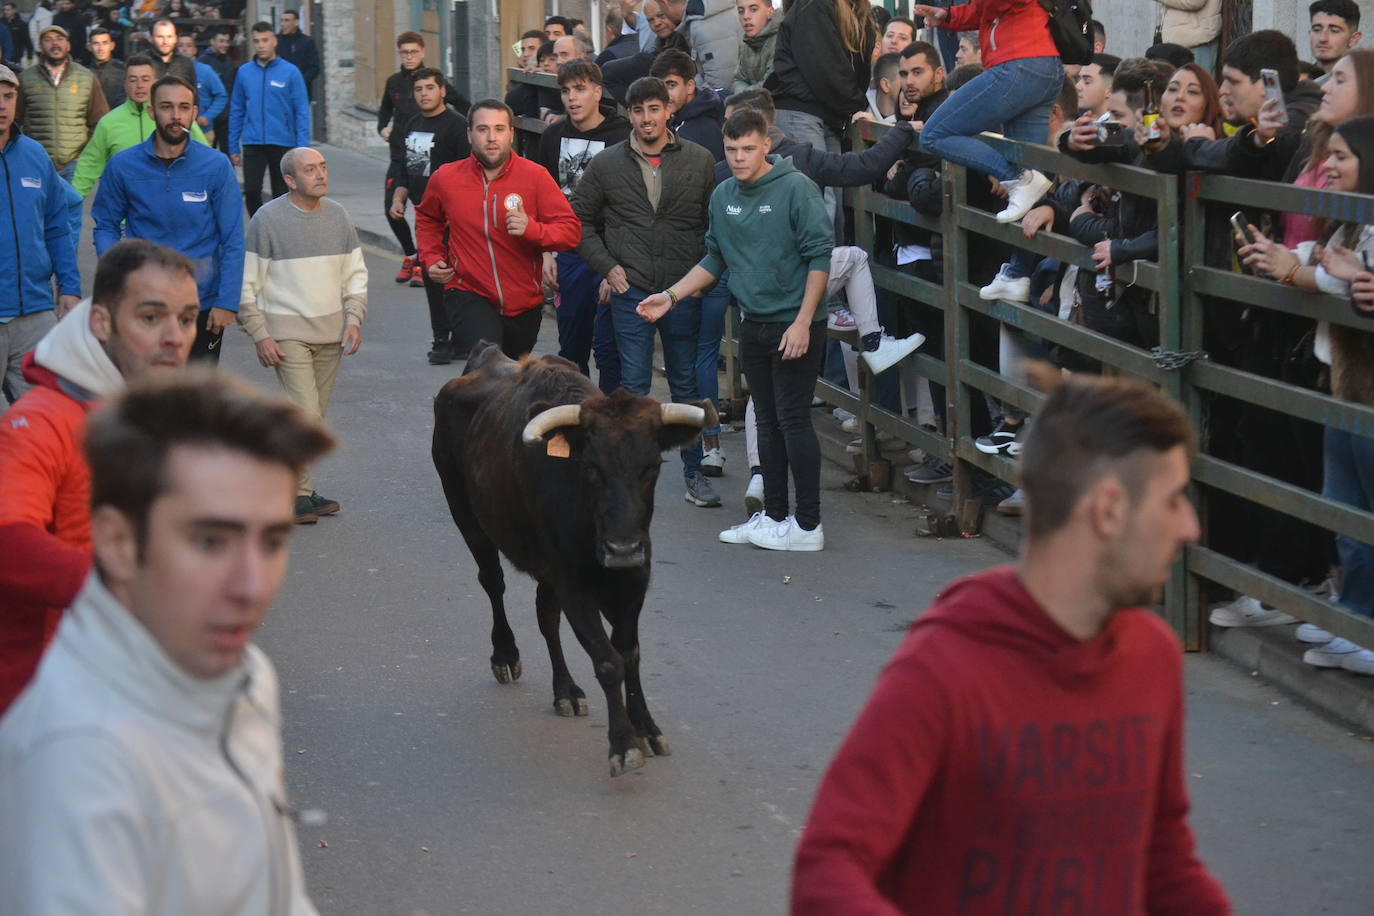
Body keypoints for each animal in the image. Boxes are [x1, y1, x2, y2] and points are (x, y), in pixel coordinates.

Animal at [434, 341, 719, 774]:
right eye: (590, 468)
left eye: (652, 467)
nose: (622, 550)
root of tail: (488, 353)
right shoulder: (574, 586)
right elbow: (608, 660)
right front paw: (624, 743)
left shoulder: (634, 581)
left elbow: (630, 655)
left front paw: (646, 728)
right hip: (467, 516)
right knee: (493, 582)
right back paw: (505, 654)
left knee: (545, 615)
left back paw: (565, 690)